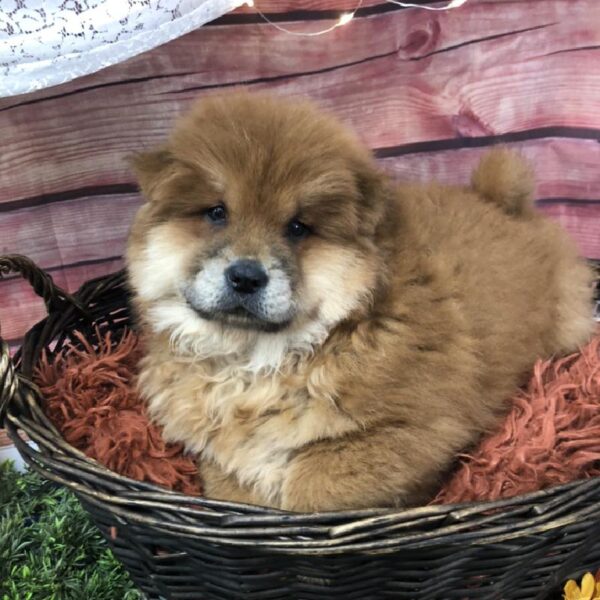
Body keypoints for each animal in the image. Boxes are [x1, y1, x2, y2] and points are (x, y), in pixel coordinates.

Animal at [127, 92, 596, 510]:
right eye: (217, 213)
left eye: (297, 227)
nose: (246, 276)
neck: (258, 358)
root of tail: (501, 201)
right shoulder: (221, 451)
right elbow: (234, 482)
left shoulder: (414, 429)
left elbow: (309, 487)